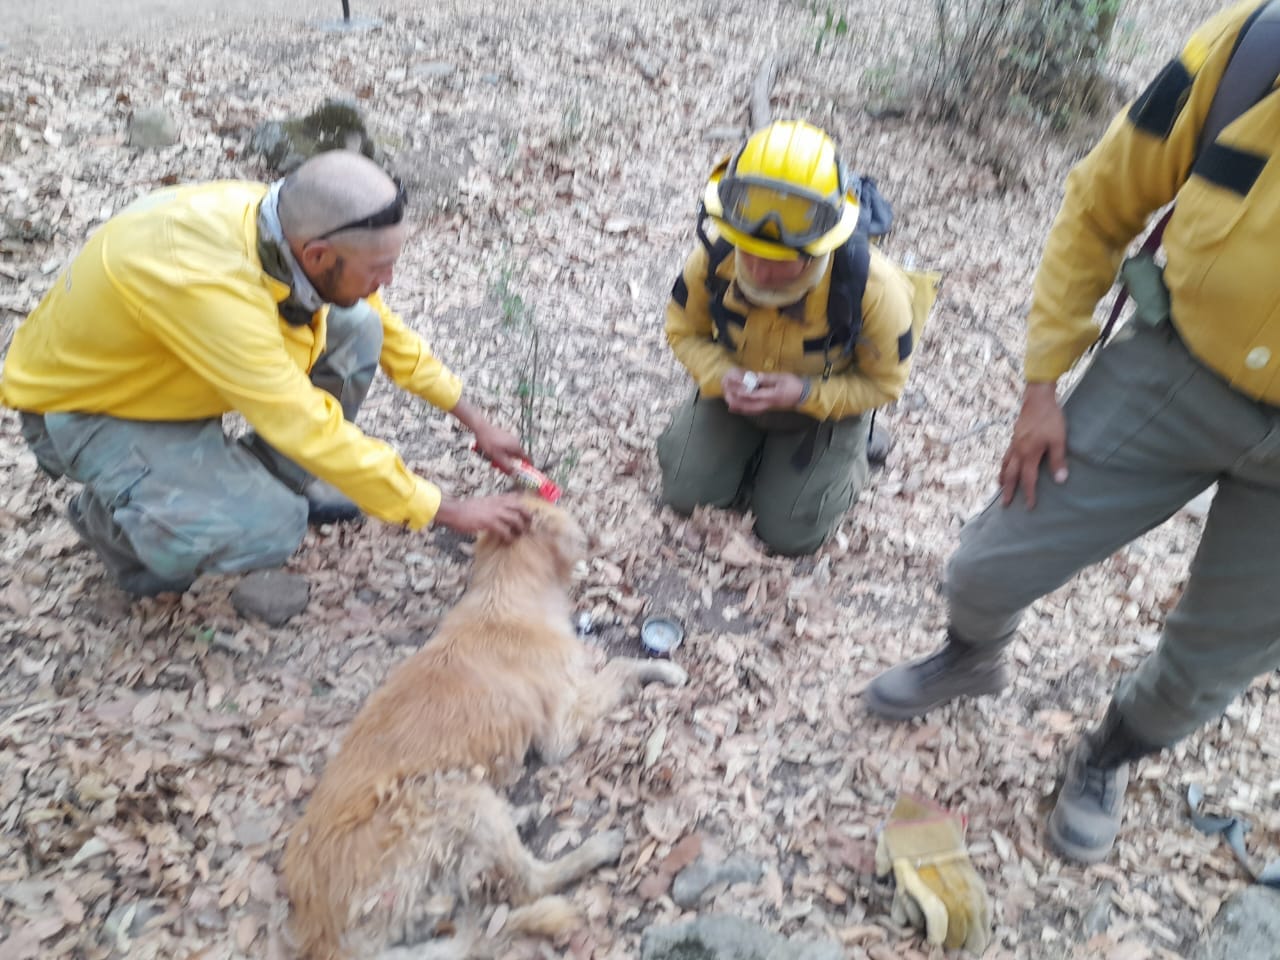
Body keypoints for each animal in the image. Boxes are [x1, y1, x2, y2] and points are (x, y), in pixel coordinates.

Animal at [282, 499, 691, 957]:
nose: (599, 537)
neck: (504, 595)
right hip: (452, 797)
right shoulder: (559, 732)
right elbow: (618, 665)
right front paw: (664, 670)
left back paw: (522, 814)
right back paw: (598, 848)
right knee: (529, 885)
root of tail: (327, 935)